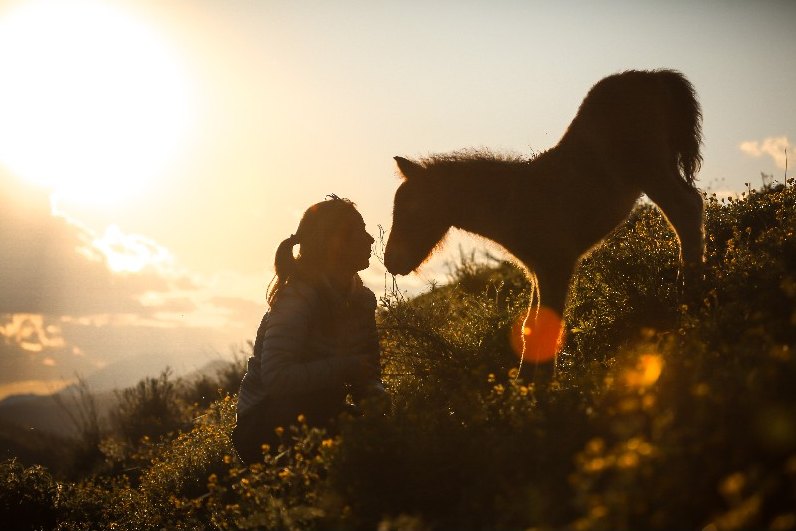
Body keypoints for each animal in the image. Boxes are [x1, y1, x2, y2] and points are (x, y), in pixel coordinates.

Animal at [384, 69, 704, 365]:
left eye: (411, 209)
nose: (391, 262)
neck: (512, 201)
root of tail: (653, 75)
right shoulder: (537, 268)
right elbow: (531, 327)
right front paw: (526, 385)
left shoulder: (556, 263)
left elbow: (546, 328)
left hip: (651, 169)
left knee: (686, 208)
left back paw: (690, 297)